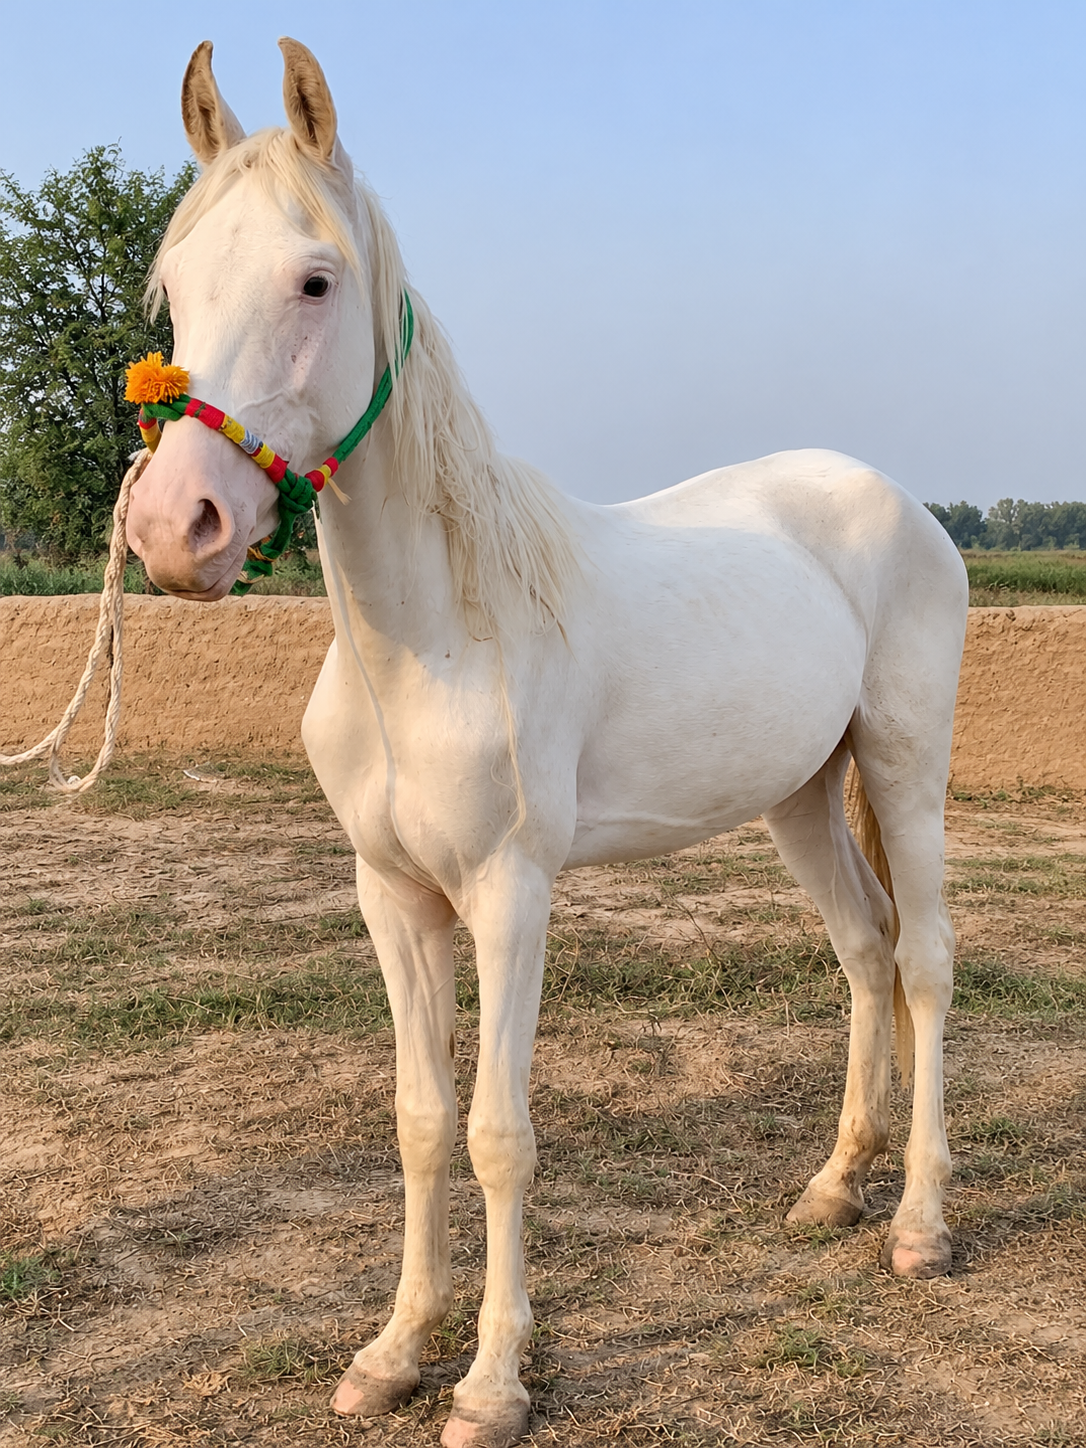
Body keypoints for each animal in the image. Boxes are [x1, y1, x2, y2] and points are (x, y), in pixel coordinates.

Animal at [124, 38, 968, 1448]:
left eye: (315, 279)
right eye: (175, 286)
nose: (174, 527)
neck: (434, 637)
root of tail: (899, 501)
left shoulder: (511, 896)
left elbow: (498, 1132)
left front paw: (490, 1381)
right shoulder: (394, 897)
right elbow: (420, 1120)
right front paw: (392, 1352)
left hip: (904, 769)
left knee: (922, 964)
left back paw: (918, 1224)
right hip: (801, 792)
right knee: (861, 950)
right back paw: (832, 1189)